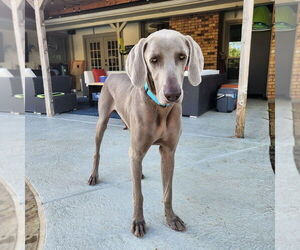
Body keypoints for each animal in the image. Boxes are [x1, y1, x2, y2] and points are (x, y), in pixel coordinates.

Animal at [87, 28, 204, 236]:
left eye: (182, 57)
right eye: (153, 59)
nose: (173, 95)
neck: (160, 109)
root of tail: (113, 74)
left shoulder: (168, 152)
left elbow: (168, 191)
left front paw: (171, 218)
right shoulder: (138, 149)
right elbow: (138, 194)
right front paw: (138, 221)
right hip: (102, 121)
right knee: (97, 152)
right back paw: (94, 175)